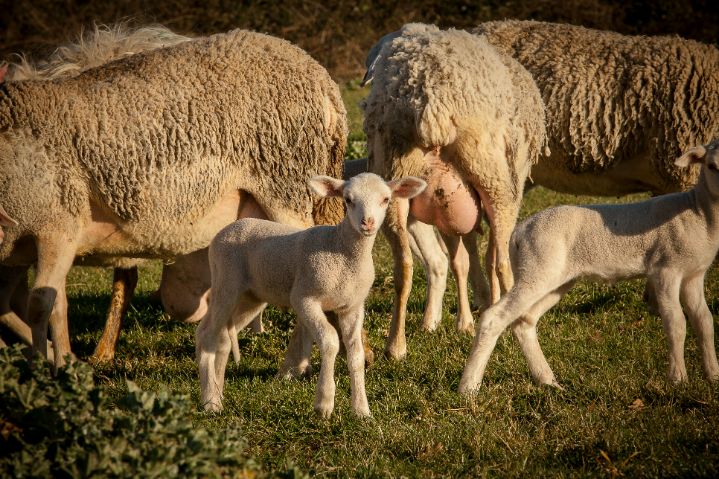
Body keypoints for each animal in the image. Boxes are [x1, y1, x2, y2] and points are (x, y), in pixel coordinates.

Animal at [0, 28, 348, 370]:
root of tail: (323, 80)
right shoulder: (23, 245)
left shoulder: (56, 225)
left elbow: (42, 302)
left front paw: (59, 363)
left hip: (286, 185)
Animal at [195, 172, 428, 416]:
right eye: (348, 200)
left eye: (385, 199)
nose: (368, 222)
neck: (341, 249)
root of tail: (227, 229)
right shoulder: (305, 298)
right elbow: (330, 340)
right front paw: (324, 403)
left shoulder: (352, 307)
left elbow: (356, 354)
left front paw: (361, 410)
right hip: (225, 281)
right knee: (206, 334)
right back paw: (210, 401)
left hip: (250, 297)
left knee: (222, 338)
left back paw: (217, 393)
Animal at [362, 22, 548, 360]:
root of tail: (432, 96)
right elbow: (481, 260)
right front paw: (480, 314)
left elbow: (463, 261)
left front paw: (468, 319)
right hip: (496, 183)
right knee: (501, 263)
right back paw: (510, 327)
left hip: (395, 177)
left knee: (404, 266)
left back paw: (396, 345)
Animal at [458, 139, 719, 394]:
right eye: (712, 166)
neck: (698, 211)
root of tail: (518, 234)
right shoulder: (665, 269)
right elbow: (676, 322)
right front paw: (678, 380)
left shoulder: (693, 275)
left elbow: (704, 321)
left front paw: (713, 376)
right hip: (536, 272)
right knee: (494, 318)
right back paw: (469, 387)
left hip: (553, 279)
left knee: (525, 321)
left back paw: (548, 381)